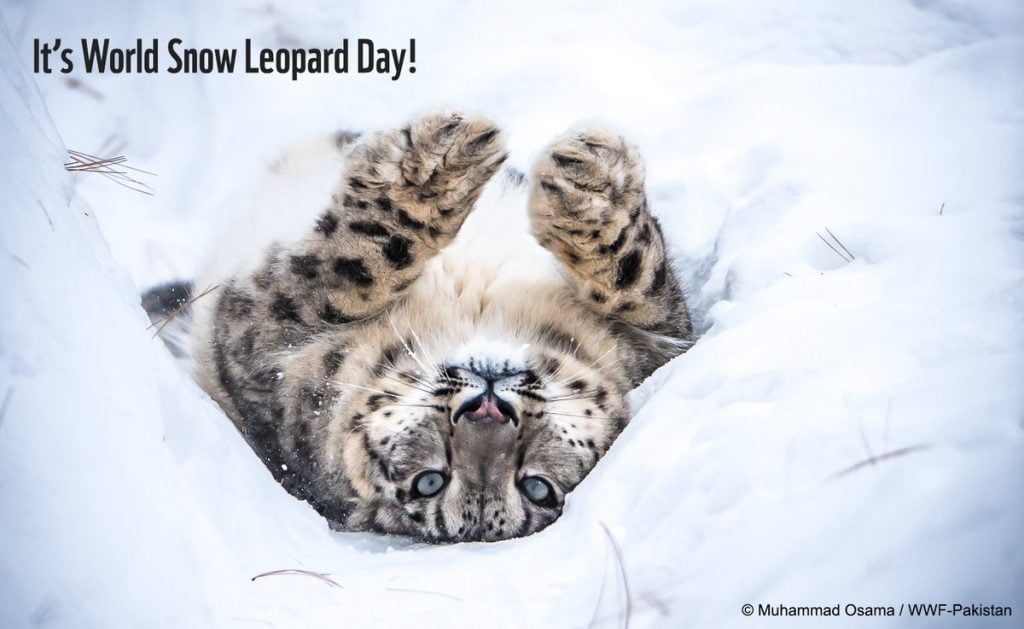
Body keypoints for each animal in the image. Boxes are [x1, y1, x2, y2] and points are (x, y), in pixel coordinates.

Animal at [152, 111, 693, 543]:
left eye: (537, 487)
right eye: (431, 481)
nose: (488, 410)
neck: (476, 312)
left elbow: (641, 282)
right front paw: (447, 162)